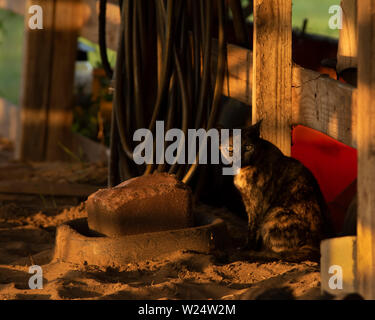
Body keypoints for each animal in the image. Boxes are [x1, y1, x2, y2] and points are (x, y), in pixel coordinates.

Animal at [220, 121, 334, 262]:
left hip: (275, 212)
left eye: (248, 147)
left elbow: (252, 229)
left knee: (279, 253)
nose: (239, 160)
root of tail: (315, 247)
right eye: (230, 149)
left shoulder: (256, 205)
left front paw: (247, 248)